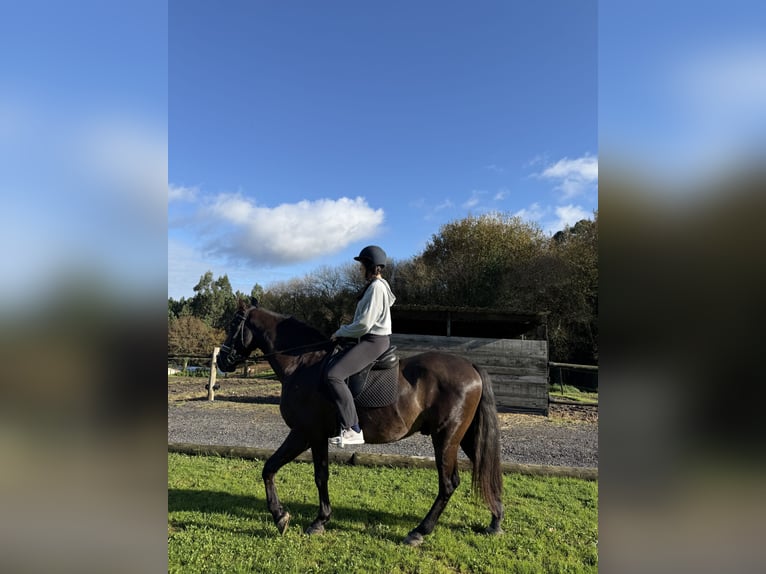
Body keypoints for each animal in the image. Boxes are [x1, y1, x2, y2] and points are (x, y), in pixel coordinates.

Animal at [216, 300, 504, 546]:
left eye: (233, 325)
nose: (221, 360)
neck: (302, 363)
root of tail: (470, 366)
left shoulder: (306, 432)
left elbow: (290, 471)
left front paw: (287, 517)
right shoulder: (313, 435)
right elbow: (291, 470)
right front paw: (307, 518)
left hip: (445, 438)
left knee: (448, 484)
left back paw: (419, 532)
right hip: (464, 437)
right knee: (485, 472)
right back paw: (495, 522)